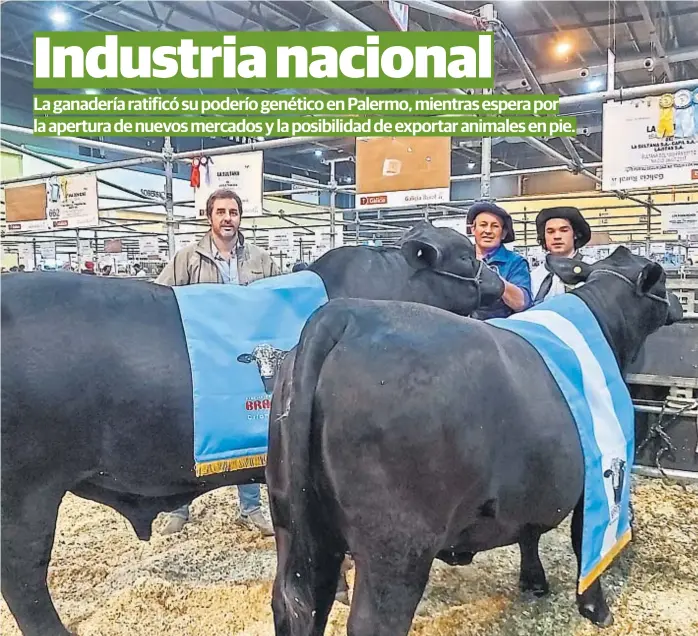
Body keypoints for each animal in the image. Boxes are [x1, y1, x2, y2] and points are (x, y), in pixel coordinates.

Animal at [266, 247, 680, 636]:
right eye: (661, 282)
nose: (677, 305)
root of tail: (346, 315)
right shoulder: (598, 468)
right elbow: (583, 538)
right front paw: (597, 609)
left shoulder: (530, 486)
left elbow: (529, 532)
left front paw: (534, 581)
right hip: (397, 544)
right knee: (373, 621)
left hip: (292, 516)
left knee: (297, 602)